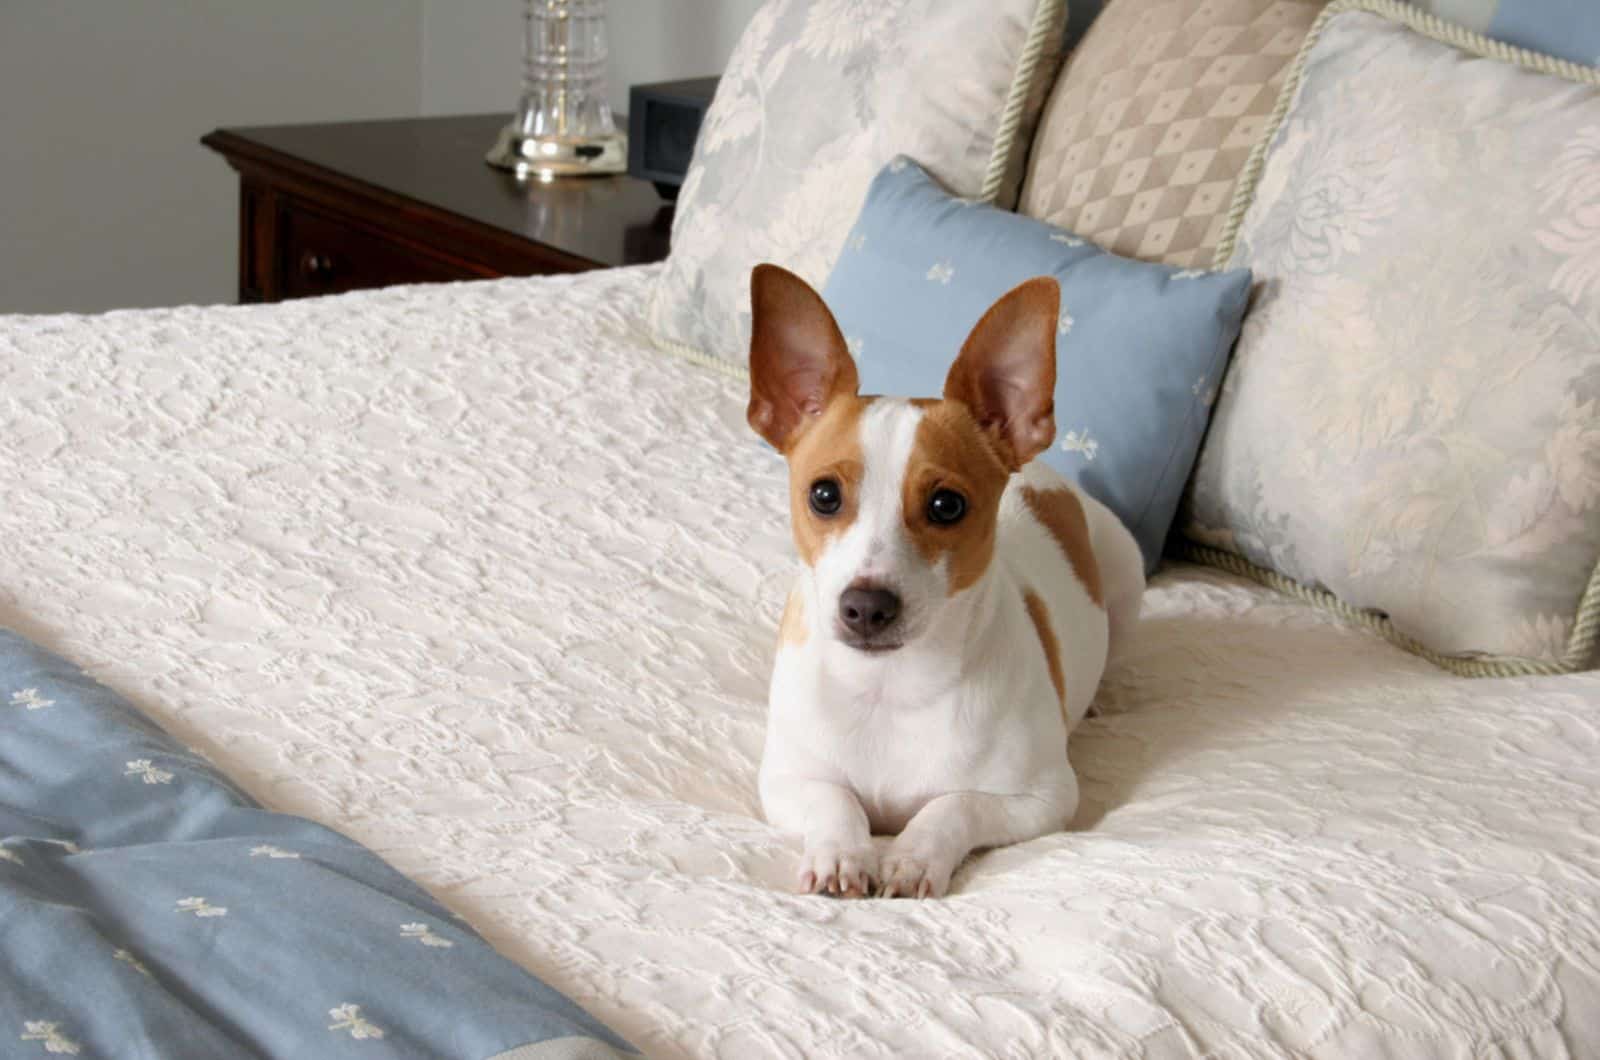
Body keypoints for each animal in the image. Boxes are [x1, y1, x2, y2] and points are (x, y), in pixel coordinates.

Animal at [742, 264, 1145, 896]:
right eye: (824, 495)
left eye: (947, 505)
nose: (866, 606)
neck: (889, 688)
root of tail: (1046, 471)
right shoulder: (787, 779)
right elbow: (836, 802)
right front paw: (843, 853)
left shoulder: (1043, 797)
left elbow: (954, 804)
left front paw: (912, 855)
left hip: (1126, 574)